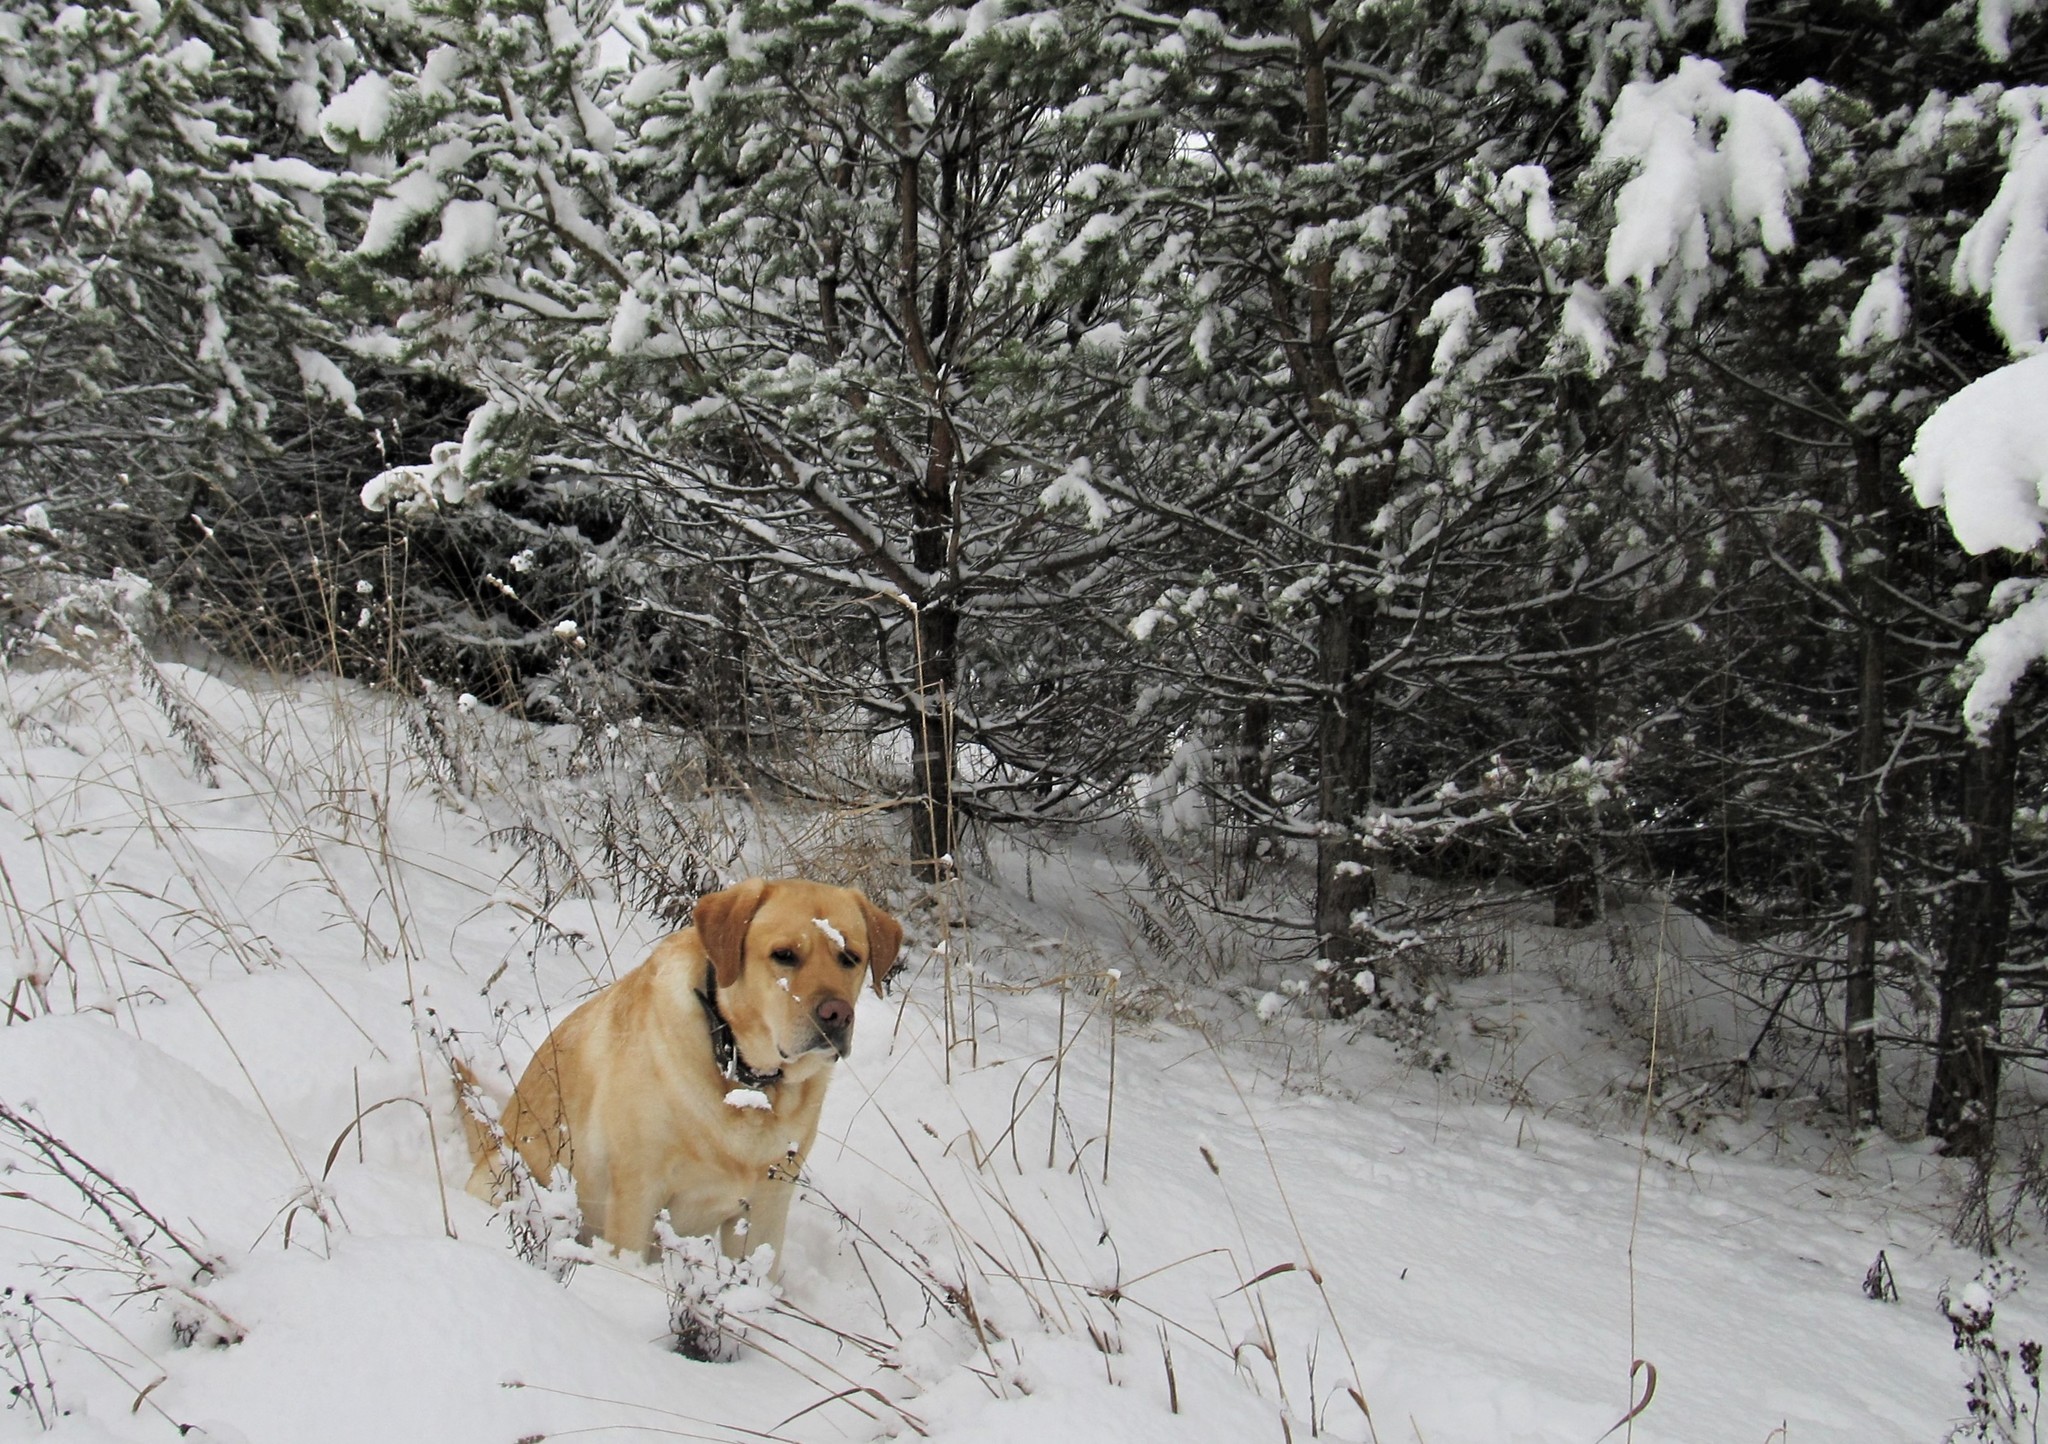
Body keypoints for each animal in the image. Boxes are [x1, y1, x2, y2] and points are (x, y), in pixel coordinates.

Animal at [475, 872, 909, 1269]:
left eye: (850, 958)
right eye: (784, 954)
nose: (837, 1014)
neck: (744, 1080)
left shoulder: (765, 1209)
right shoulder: (638, 1192)